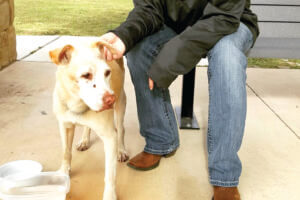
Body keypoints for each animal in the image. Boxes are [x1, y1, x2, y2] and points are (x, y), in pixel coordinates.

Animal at [49, 41, 129, 200]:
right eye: (86, 75)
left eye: (107, 72)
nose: (111, 100)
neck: (78, 105)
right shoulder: (65, 126)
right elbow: (65, 152)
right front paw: (63, 173)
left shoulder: (110, 138)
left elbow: (110, 174)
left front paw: (110, 195)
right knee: (87, 127)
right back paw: (85, 140)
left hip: (121, 103)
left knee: (121, 129)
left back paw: (121, 150)